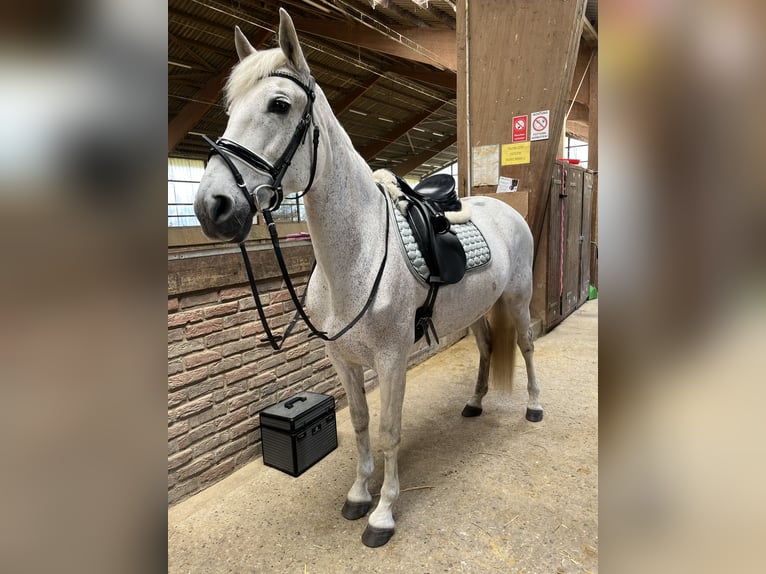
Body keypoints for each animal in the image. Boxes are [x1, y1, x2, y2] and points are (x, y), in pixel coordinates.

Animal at [195, 9, 544, 548]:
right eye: (230, 107)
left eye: (279, 105)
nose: (212, 206)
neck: (356, 256)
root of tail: (501, 206)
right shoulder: (343, 360)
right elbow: (359, 424)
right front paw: (360, 494)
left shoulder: (391, 359)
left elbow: (387, 431)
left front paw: (383, 513)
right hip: (477, 309)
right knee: (487, 348)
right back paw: (474, 402)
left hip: (519, 299)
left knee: (525, 345)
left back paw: (532, 407)